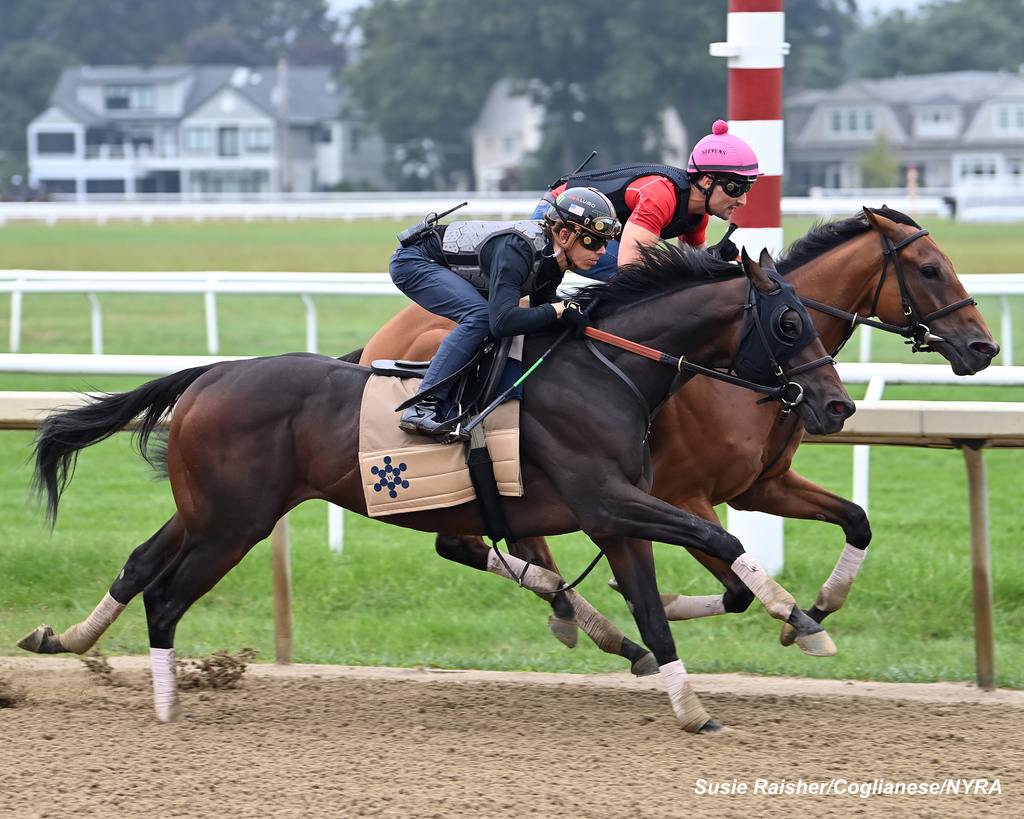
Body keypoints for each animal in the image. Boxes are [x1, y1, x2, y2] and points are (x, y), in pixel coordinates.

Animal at [19, 246, 856, 733]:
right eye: (789, 323)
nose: (835, 407)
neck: (605, 371)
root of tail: (211, 373)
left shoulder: (619, 518)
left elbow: (652, 608)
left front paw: (691, 705)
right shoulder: (609, 500)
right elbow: (720, 536)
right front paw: (798, 615)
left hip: (207, 511)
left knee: (138, 562)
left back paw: (65, 637)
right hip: (232, 523)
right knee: (164, 595)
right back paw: (165, 704)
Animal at [362, 207, 999, 667]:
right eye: (930, 269)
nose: (984, 347)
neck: (735, 375)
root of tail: (374, 345)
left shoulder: (761, 486)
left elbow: (855, 521)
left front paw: (817, 610)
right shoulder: (681, 495)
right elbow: (736, 582)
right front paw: (701, 606)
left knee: (495, 547)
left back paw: (584, 621)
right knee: (471, 545)